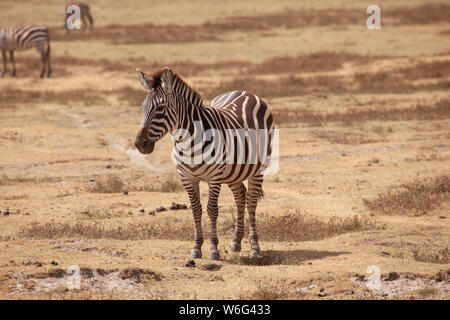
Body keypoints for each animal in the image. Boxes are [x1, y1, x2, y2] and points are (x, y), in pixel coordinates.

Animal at [134, 67, 274, 260]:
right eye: (142, 108)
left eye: (161, 108)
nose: (140, 144)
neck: (188, 141)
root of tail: (245, 92)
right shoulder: (186, 177)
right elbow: (196, 209)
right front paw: (196, 248)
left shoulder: (214, 177)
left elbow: (211, 209)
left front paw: (213, 249)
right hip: (233, 172)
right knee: (240, 197)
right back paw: (236, 242)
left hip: (258, 168)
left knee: (251, 201)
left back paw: (254, 246)